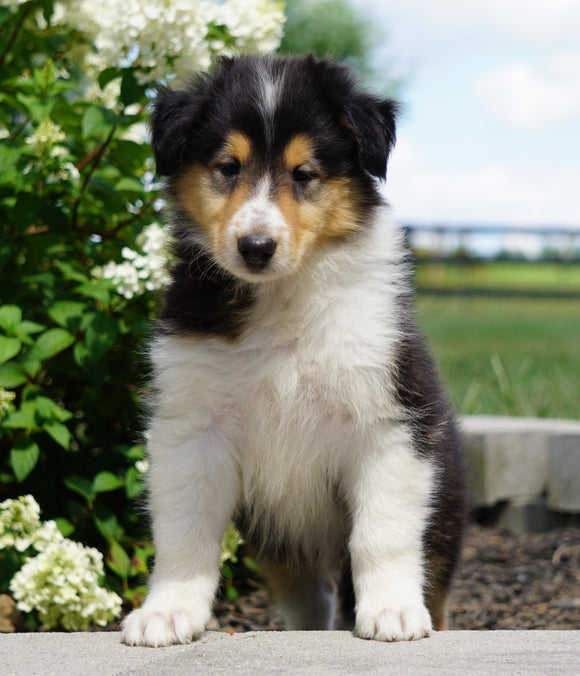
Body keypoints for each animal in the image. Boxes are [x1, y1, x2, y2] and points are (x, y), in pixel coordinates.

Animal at [122, 55, 466, 648]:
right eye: (227, 167)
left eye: (304, 174)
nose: (256, 248)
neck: (283, 298)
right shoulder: (193, 427)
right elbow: (184, 531)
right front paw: (167, 612)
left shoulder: (390, 421)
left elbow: (382, 532)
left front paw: (392, 610)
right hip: (280, 539)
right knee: (309, 596)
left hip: (442, 510)